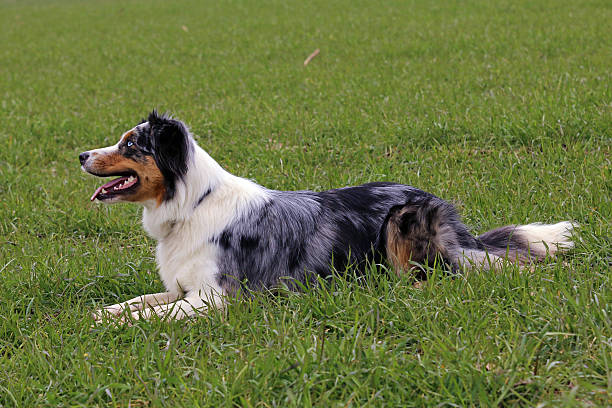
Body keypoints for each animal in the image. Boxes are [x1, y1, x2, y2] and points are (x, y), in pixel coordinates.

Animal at [80, 111, 572, 322]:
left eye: (130, 144)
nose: (81, 154)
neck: (191, 205)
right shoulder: (182, 287)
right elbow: (136, 302)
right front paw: (101, 313)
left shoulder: (216, 297)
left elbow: (153, 315)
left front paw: (112, 324)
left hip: (403, 222)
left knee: (437, 276)